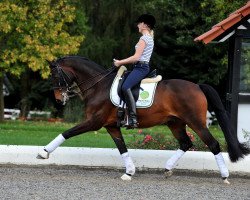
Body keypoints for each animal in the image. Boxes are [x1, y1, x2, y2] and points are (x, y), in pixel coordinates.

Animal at [37, 55, 250, 184]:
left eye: (55, 75)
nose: (59, 99)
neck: (98, 86)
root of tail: (197, 86)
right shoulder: (111, 126)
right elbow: (122, 148)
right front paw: (128, 172)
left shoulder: (94, 122)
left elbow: (67, 132)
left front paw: (44, 152)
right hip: (175, 123)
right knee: (186, 143)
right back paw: (167, 168)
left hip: (196, 122)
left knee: (213, 144)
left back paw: (224, 176)